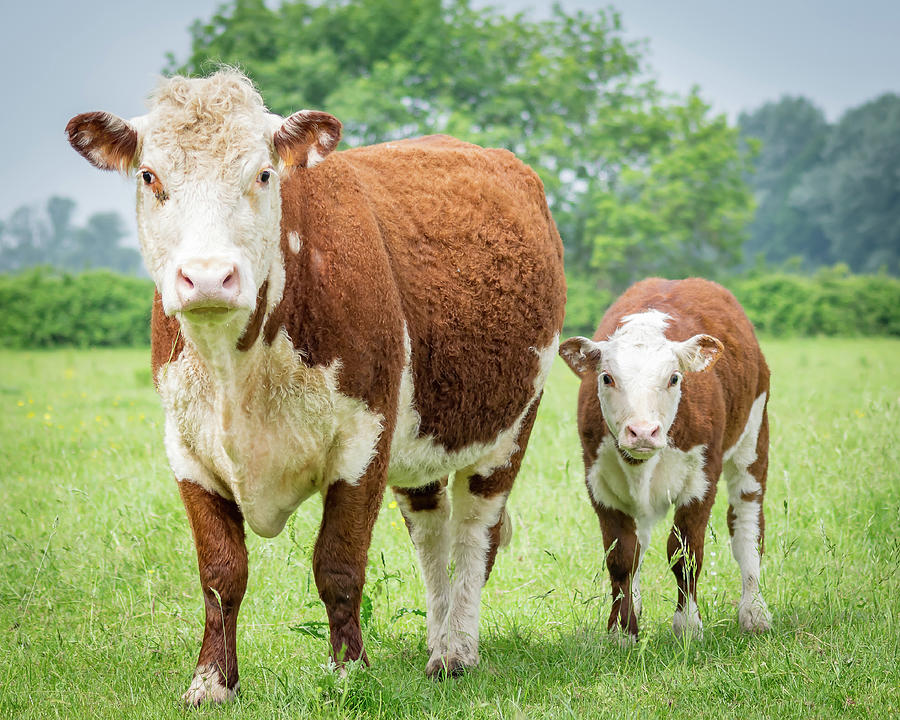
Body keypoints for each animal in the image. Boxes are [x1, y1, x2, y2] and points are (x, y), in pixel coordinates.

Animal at [67, 71, 568, 704]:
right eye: (150, 176)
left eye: (263, 173)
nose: (207, 277)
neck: (237, 377)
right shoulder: (186, 451)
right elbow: (221, 573)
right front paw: (212, 682)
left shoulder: (364, 440)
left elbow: (339, 564)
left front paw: (349, 671)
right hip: (423, 447)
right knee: (431, 538)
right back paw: (437, 647)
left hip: (511, 426)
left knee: (475, 536)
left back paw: (458, 650)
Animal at [560, 278, 768, 644]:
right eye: (606, 377)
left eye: (674, 378)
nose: (643, 431)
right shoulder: (599, 484)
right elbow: (621, 557)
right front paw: (622, 630)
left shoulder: (702, 480)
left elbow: (685, 553)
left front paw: (688, 626)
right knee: (639, 542)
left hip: (753, 438)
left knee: (747, 526)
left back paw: (754, 611)